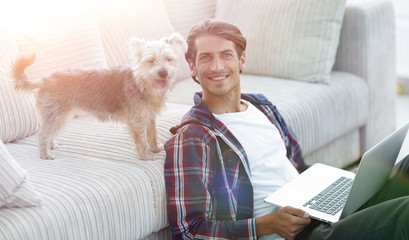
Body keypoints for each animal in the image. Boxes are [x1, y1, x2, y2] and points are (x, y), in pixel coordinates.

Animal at [12, 31, 187, 159]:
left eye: (169, 59)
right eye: (151, 61)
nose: (163, 72)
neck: (142, 82)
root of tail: (44, 79)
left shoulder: (150, 116)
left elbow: (152, 134)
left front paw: (155, 148)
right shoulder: (137, 120)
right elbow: (141, 139)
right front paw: (146, 156)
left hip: (61, 116)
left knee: (50, 132)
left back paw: (52, 145)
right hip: (55, 115)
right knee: (43, 134)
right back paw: (45, 154)